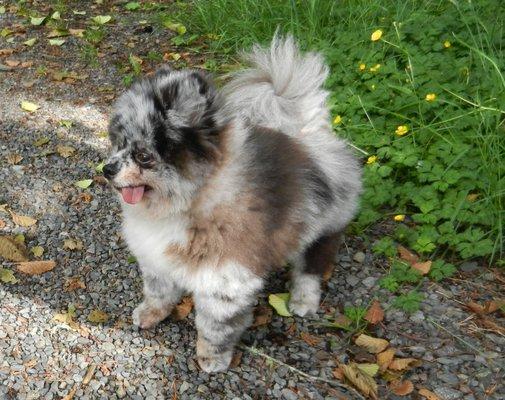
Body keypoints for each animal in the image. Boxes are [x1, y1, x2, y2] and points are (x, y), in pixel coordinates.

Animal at [103, 34, 362, 372]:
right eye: (118, 144)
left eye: (144, 155)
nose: (107, 169)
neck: (190, 201)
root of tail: (309, 133)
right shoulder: (157, 259)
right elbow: (158, 292)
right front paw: (151, 314)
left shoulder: (225, 281)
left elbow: (215, 326)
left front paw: (212, 357)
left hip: (324, 227)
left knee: (311, 267)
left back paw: (303, 300)